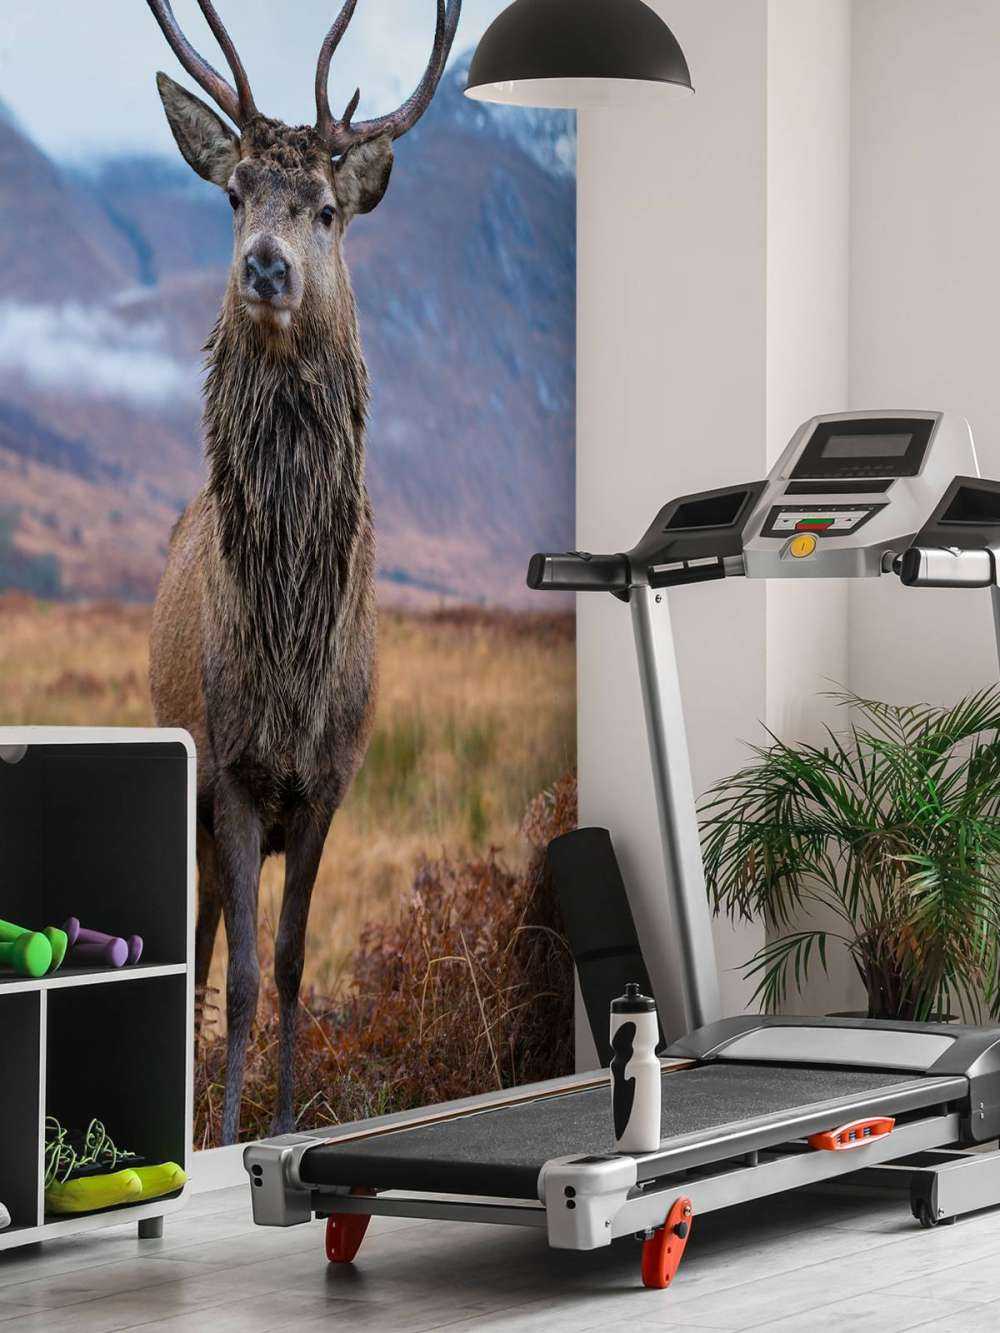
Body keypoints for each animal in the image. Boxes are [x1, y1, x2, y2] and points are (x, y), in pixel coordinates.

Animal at [144, 0, 461, 1144]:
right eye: (234, 192)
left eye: (326, 209)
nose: (267, 267)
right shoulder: (234, 773)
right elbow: (239, 976)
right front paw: (231, 1128)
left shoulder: (331, 780)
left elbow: (286, 965)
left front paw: (283, 1121)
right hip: (184, 774)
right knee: (197, 945)